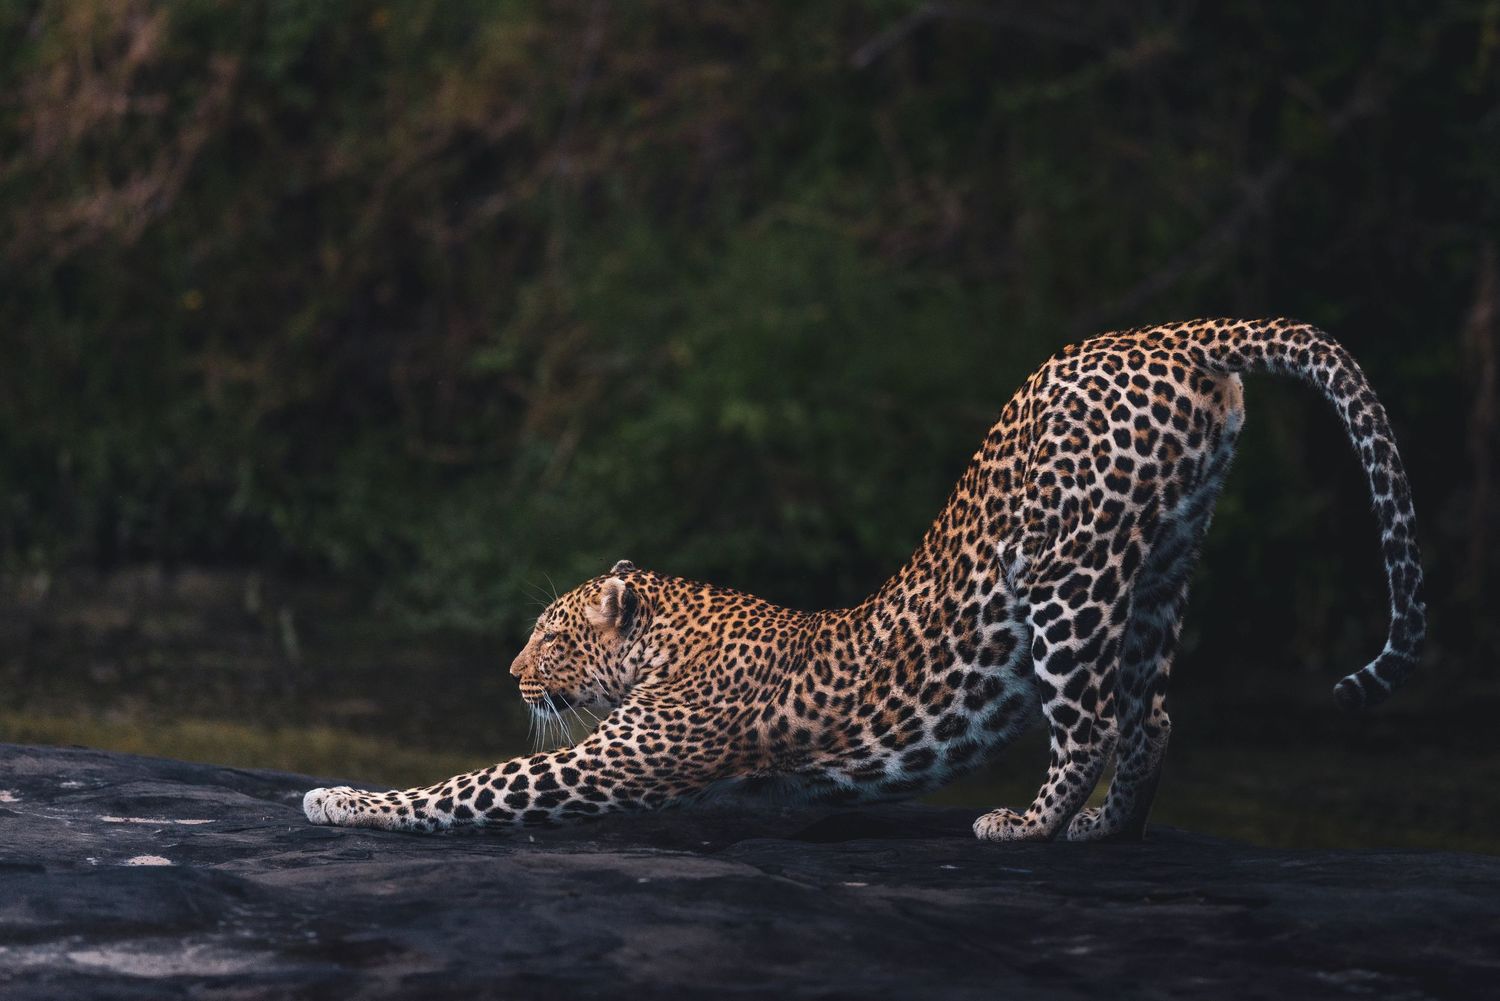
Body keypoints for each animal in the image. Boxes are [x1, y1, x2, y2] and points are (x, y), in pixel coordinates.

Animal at [304, 318, 1424, 842]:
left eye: (554, 634)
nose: (509, 673)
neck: (674, 629)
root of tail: (1169, 334)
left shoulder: (620, 758)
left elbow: (473, 782)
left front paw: (342, 797)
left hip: (1067, 572)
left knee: (1092, 717)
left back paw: (1028, 825)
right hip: (1162, 554)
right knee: (1150, 708)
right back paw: (1106, 827)